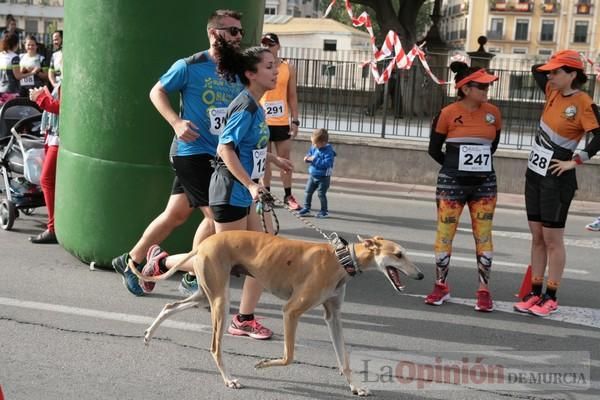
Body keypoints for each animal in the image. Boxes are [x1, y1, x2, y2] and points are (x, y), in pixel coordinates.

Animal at [129, 230, 424, 396]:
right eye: (398, 255)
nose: (420, 275)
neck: (341, 259)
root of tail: (203, 244)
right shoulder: (291, 311)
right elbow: (289, 356)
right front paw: (262, 364)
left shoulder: (333, 316)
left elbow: (344, 359)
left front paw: (356, 387)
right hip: (219, 300)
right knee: (214, 346)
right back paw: (229, 379)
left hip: (205, 295)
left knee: (169, 307)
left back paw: (148, 334)